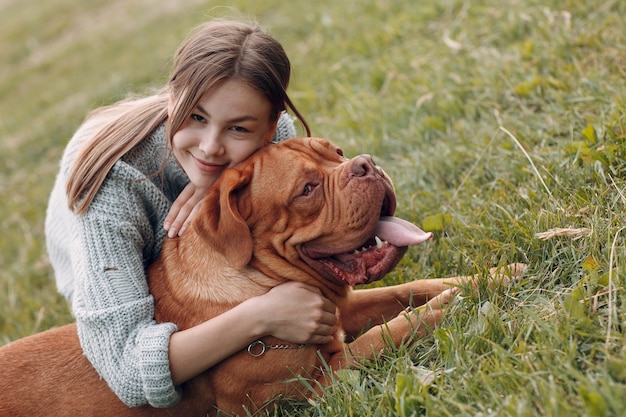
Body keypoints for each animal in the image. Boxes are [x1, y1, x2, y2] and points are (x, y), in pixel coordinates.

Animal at [0, 138, 520, 414]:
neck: (257, 284)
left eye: (338, 152)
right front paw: (445, 308)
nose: (366, 164)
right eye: (307, 189)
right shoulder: (317, 384)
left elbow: (409, 290)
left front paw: (493, 276)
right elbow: (390, 330)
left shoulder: (340, 310)